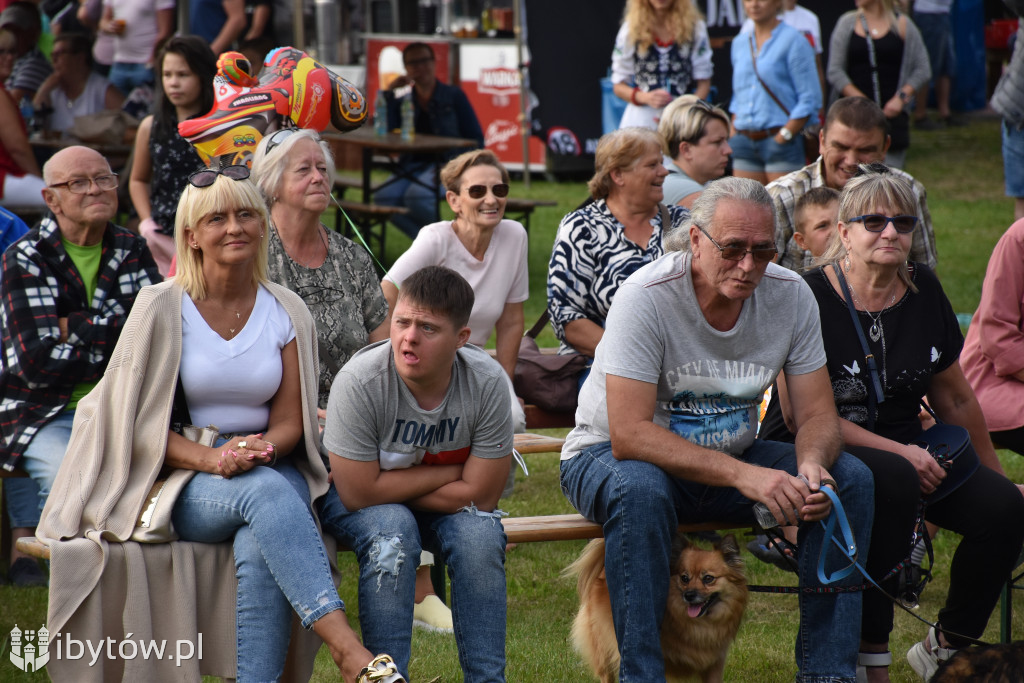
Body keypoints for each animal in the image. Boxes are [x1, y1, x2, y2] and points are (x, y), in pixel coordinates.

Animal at [565, 532, 749, 683]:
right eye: (684, 578)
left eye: (708, 578)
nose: (689, 595)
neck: (700, 626)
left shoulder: (714, 664)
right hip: (603, 646)